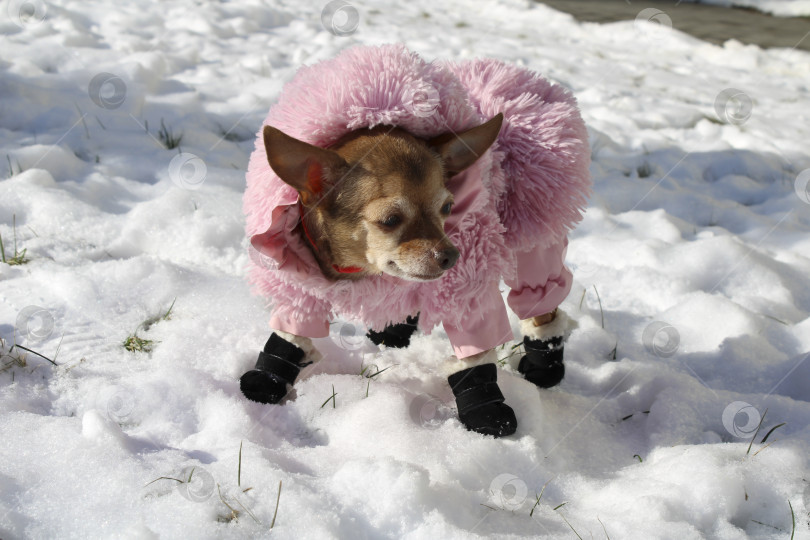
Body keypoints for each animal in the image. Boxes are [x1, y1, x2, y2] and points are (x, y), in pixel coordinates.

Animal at [238, 44, 588, 436]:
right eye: (390, 220)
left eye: (448, 207)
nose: (451, 255)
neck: (357, 271)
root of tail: (522, 75)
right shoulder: (300, 289)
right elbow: (290, 335)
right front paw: (268, 377)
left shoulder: (468, 296)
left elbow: (475, 354)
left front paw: (486, 408)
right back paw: (394, 331)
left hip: (534, 240)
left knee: (542, 301)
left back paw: (545, 364)